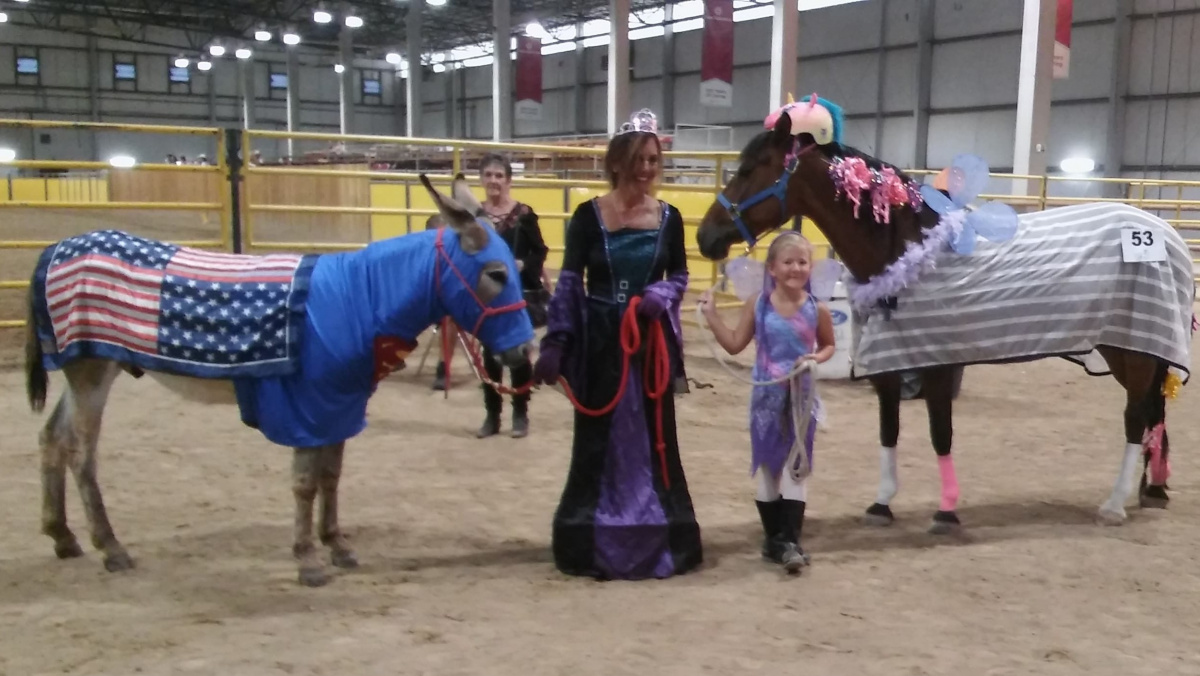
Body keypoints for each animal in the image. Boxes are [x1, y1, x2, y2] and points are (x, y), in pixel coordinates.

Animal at [19, 174, 530, 588]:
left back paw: (63, 537)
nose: (524, 352)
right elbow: (305, 482)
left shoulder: (339, 405)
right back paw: (111, 548)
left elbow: (331, 476)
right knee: (81, 454)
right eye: (496, 273)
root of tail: (58, 249)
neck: (359, 298)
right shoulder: (308, 406)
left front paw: (337, 545)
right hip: (89, 372)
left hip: (89, 371)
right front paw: (308, 560)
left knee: (51, 439)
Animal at [696, 104, 1190, 535]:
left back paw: (1114, 504)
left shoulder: (938, 365)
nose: (704, 238)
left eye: (749, 169)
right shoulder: (889, 368)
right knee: (1151, 413)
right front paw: (882, 504)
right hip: (1136, 349)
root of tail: (1164, 233)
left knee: (1135, 417)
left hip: (1133, 351)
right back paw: (1152, 490)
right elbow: (889, 430)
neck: (903, 248)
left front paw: (946, 512)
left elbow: (940, 434)